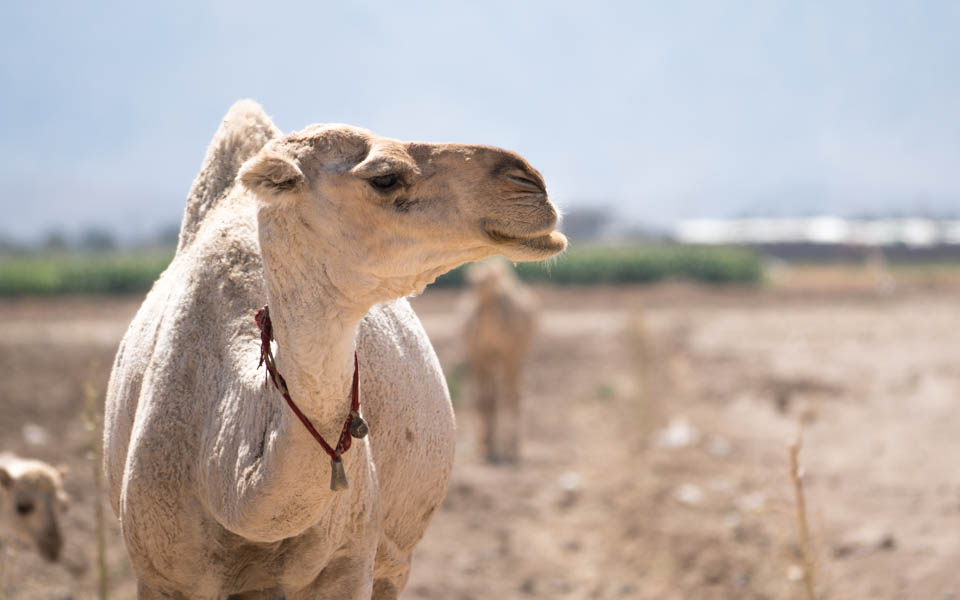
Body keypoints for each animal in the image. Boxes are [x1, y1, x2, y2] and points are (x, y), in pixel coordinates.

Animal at [464, 260, 540, 462]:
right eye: (472, 279)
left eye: (490, 279)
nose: (473, 284)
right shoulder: (479, 357)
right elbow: (484, 400)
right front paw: (485, 446)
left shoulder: (509, 356)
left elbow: (508, 398)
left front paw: (509, 448)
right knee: (494, 396)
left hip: (516, 358)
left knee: (513, 395)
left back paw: (512, 447)